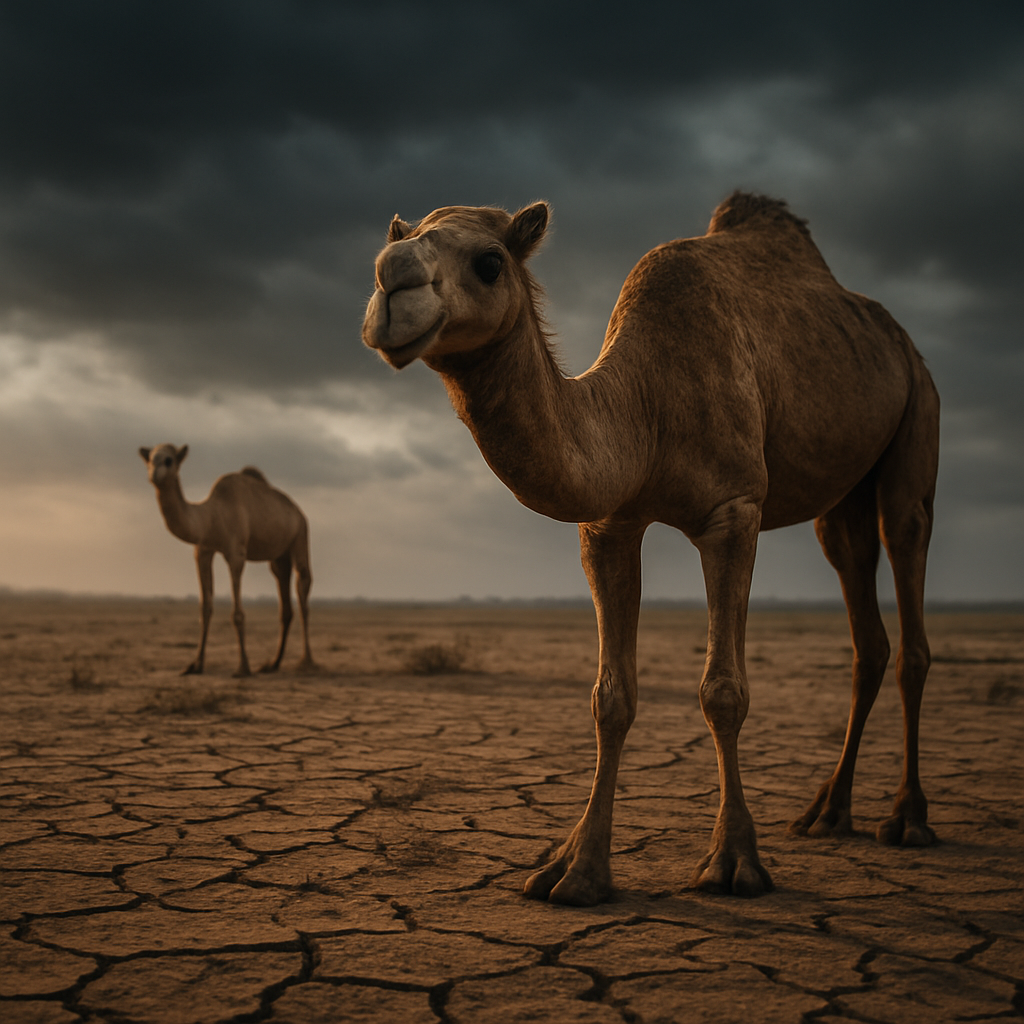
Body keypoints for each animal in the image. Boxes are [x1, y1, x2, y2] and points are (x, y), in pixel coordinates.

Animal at [139, 444, 314, 677]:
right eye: (149, 458)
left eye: (169, 460)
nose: (154, 474)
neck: (211, 517)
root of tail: (297, 511)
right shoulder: (203, 551)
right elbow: (205, 609)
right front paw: (195, 665)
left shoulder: (236, 554)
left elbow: (237, 613)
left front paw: (243, 667)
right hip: (280, 555)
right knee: (284, 597)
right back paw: (273, 664)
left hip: (300, 534)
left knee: (303, 586)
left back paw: (307, 661)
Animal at [362, 192, 939, 905]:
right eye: (396, 242)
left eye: (490, 262)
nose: (392, 280)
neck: (647, 405)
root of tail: (902, 341)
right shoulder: (609, 525)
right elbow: (610, 698)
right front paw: (576, 870)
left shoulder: (733, 513)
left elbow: (724, 692)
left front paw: (733, 862)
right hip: (843, 493)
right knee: (863, 618)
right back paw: (827, 812)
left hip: (917, 416)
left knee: (908, 573)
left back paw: (907, 818)